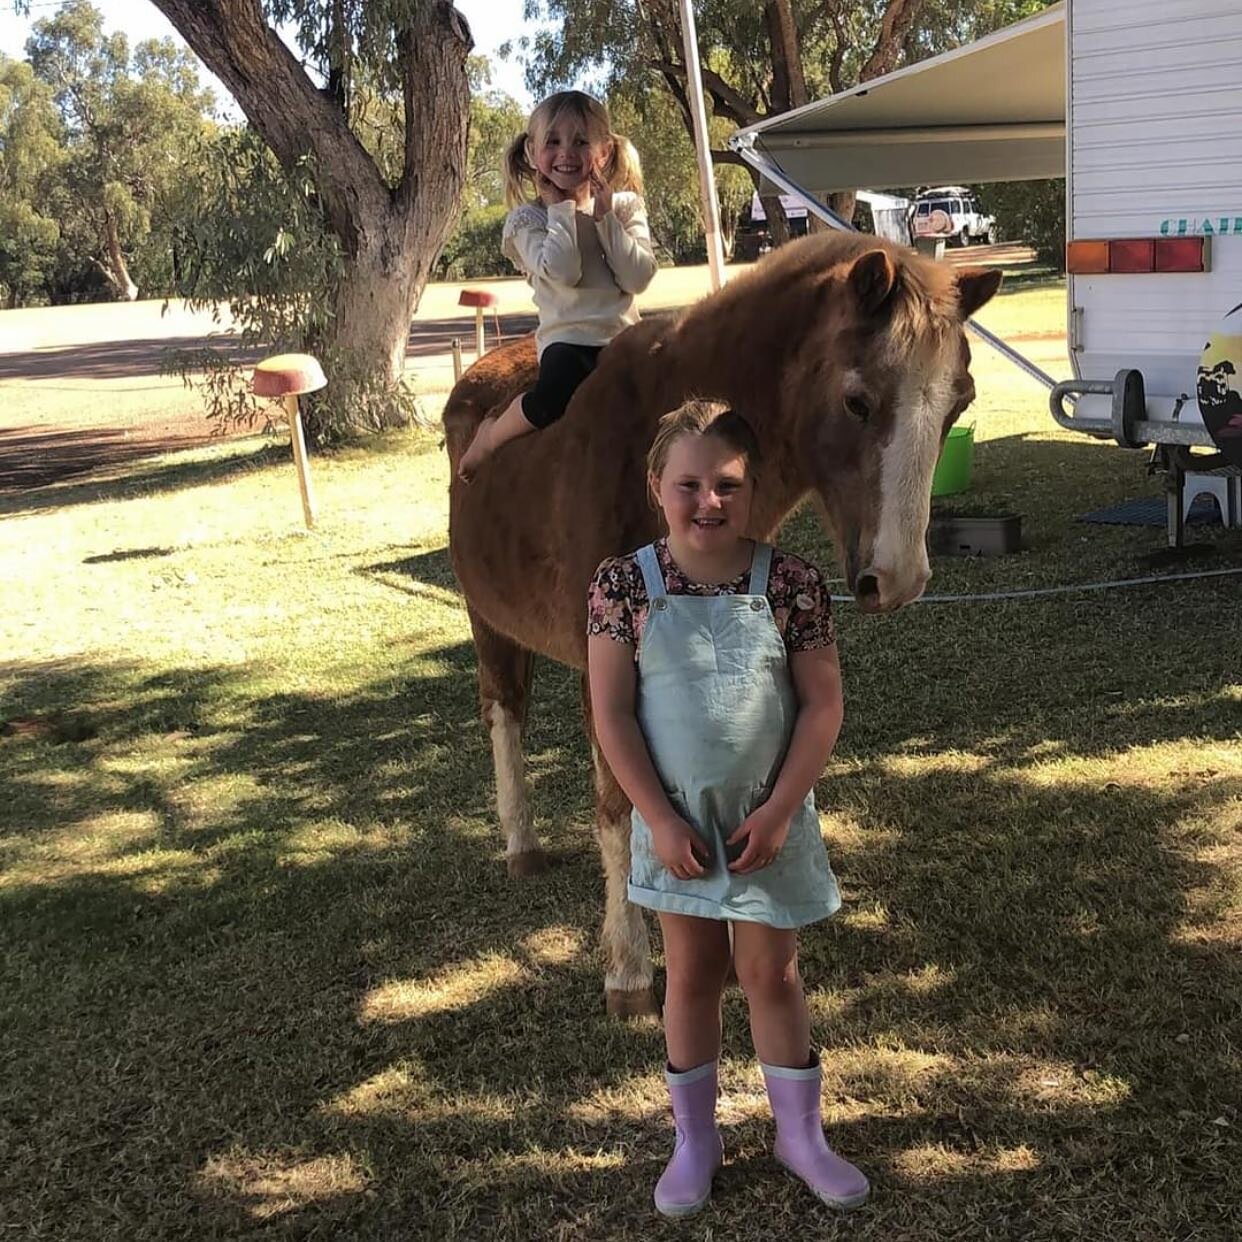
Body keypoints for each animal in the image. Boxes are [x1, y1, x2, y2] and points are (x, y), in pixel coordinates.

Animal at [447, 233, 998, 1018]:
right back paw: (521, 842)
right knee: (505, 713)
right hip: (485, 619)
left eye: (960, 403)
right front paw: (629, 972)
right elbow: (617, 809)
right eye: (858, 402)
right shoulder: (605, 663)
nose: (898, 579)